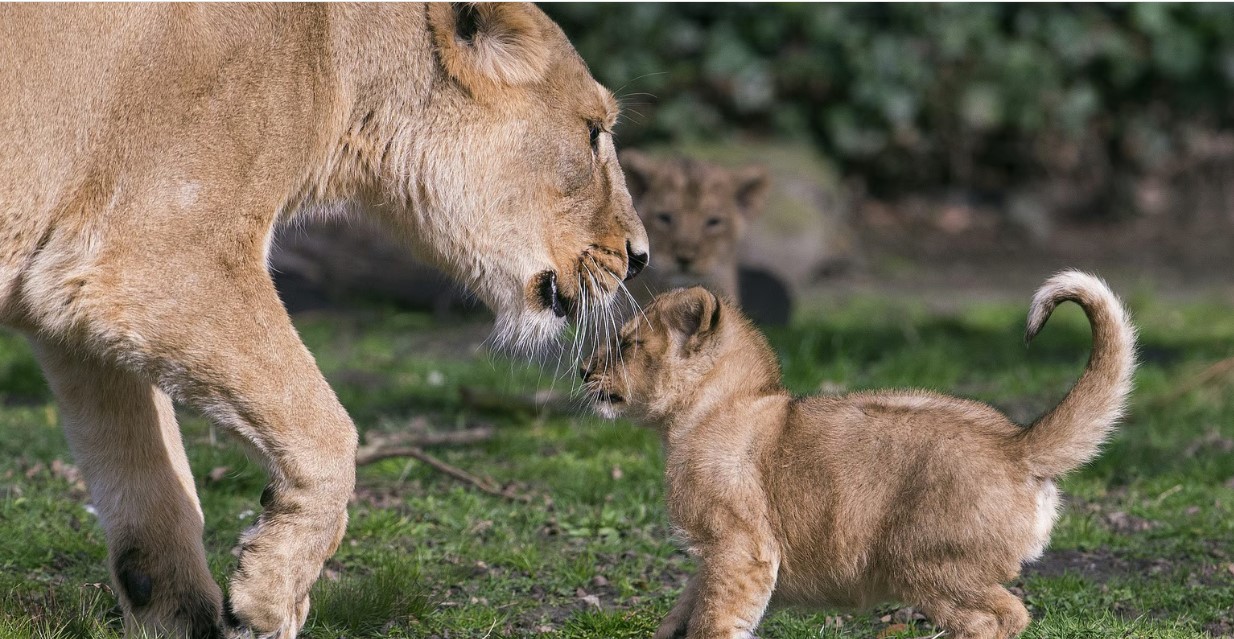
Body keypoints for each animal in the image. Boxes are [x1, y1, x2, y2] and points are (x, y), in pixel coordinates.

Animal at [0, 4, 647, 638]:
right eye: (594, 131)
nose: (640, 257)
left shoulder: (65, 287)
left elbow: (147, 467)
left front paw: (182, 612)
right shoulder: (154, 258)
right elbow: (327, 430)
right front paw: (271, 595)